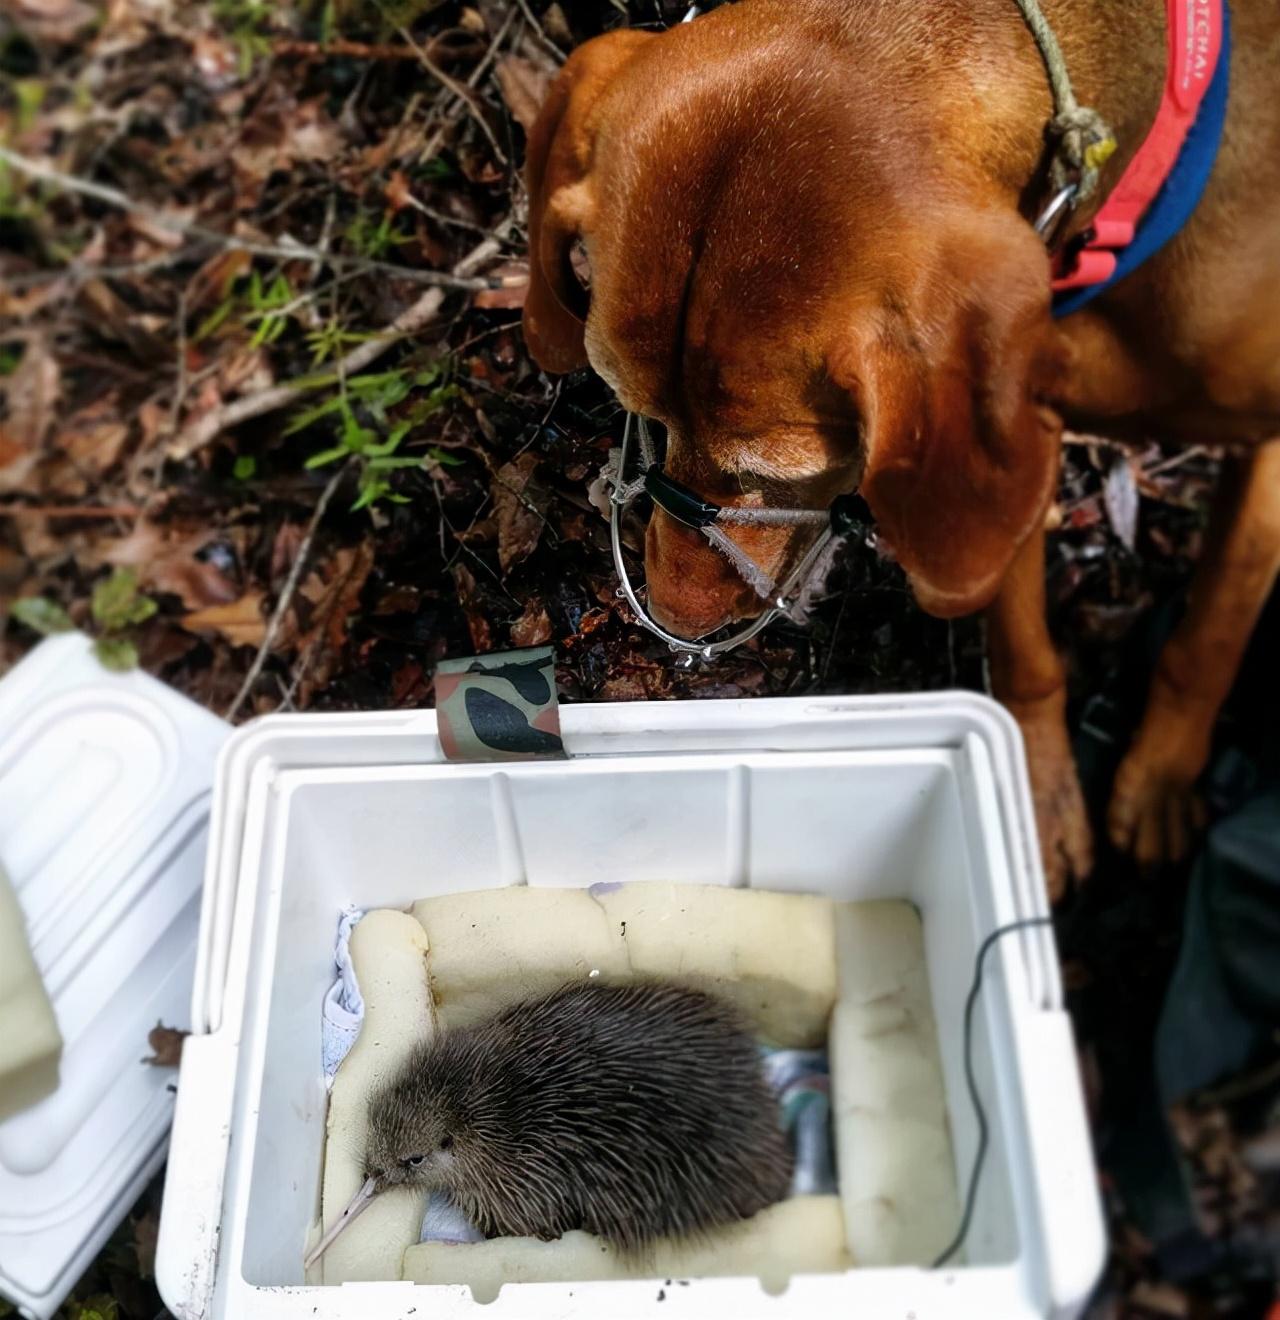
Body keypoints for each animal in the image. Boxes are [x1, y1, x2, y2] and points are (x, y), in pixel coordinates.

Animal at [517, 0, 1277, 897]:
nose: (671, 622)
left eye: (771, 475)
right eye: (644, 419)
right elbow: (1023, 647)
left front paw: (1158, 777)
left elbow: (1215, 621)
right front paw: (1038, 798)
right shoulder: (1008, 452)